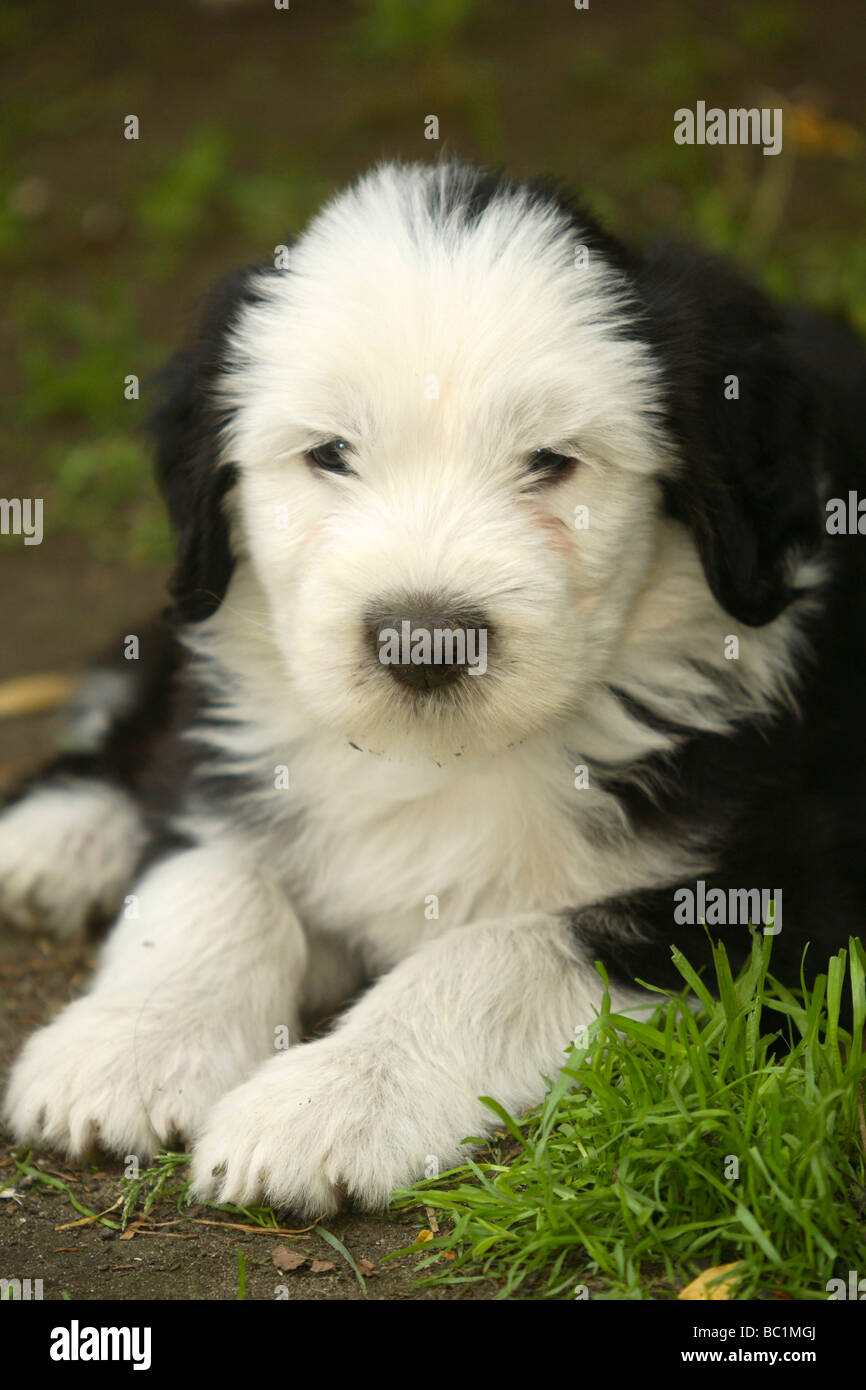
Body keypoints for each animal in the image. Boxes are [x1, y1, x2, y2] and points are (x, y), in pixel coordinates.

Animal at [1, 157, 866, 1212]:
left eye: (552, 461)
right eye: (330, 452)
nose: (425, 642)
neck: (434, 761)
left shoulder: (778, 897)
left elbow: (497, 951)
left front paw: (325, 1102)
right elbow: (213, 872)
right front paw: (131, 1046)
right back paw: (60, 832)